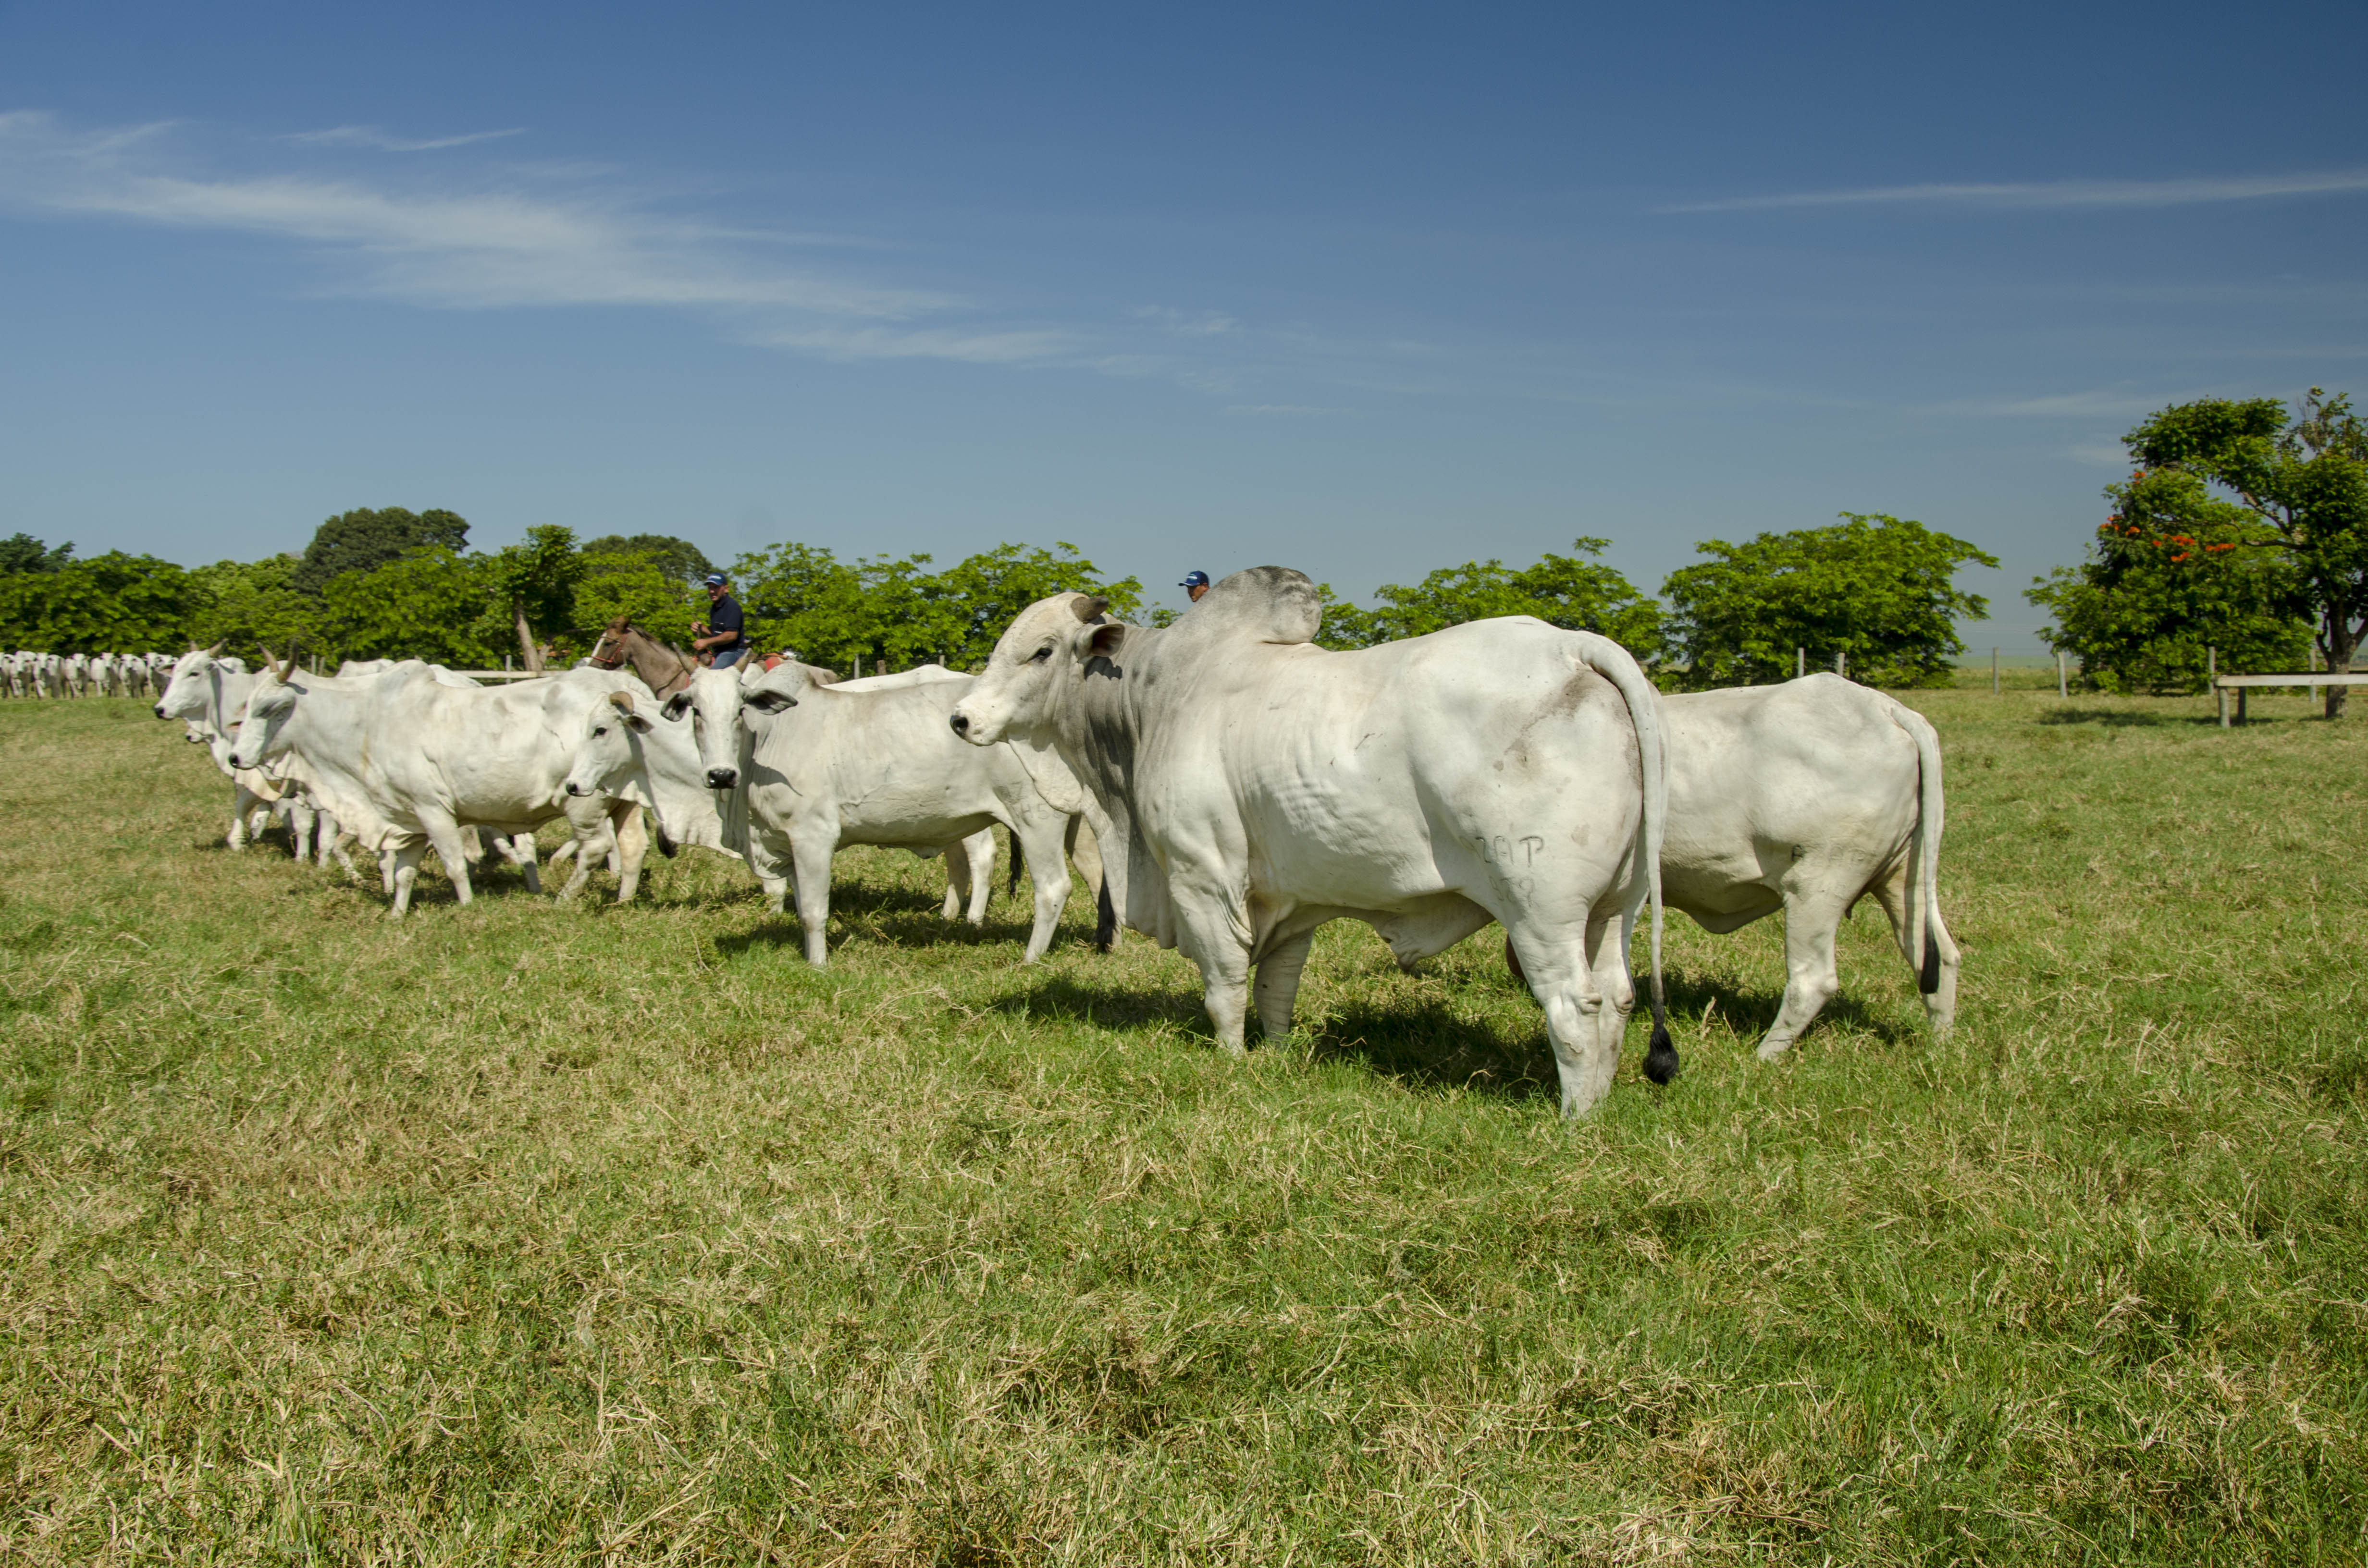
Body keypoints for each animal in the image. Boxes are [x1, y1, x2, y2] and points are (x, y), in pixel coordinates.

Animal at [952, 566, 1677, 1118]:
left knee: (1574, 1005)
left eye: (1042, 651)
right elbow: (1277, 988)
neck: (1150, 702)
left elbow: (1224, 984)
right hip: (1614, 908)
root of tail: (1574, 649)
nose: (961, 719)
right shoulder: (1291, 901)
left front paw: (1230, 1061)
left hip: (1540, 907)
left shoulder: (1202, 876)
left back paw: (1571, 1121)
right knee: (1616, 999)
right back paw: (1598, 1109)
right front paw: (1273, 1055)